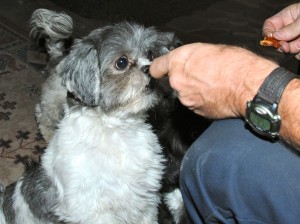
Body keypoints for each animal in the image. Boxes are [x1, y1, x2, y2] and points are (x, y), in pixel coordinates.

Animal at [0, 8, 185, 224]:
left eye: (150, 53)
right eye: (121, 62)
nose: (150, 67)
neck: (117, 129)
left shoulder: (144, 202)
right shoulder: (94, 211)